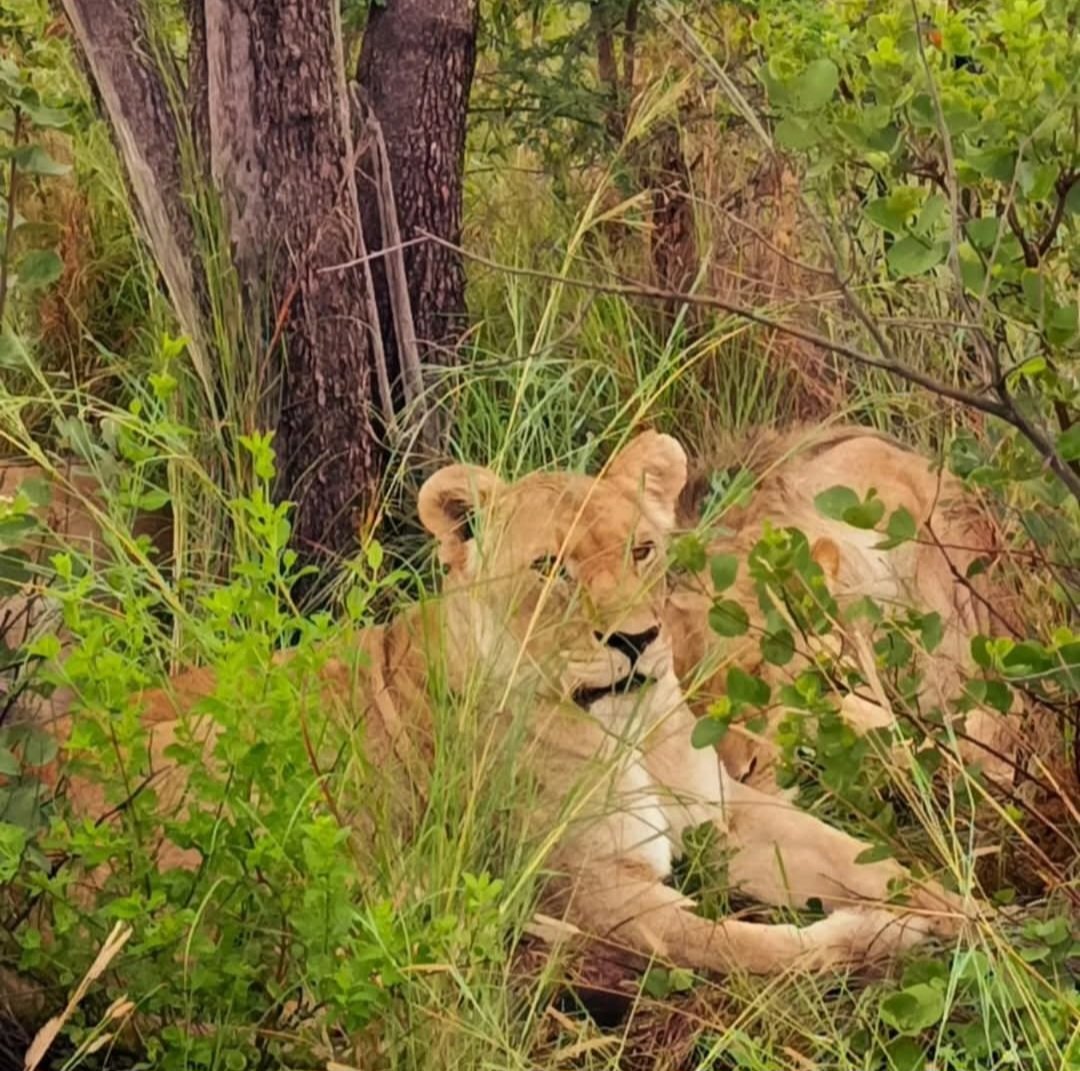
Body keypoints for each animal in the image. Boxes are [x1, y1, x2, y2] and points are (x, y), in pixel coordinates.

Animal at [4, 432, 969, 1007]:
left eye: (643, 549)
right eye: (551, 570)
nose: (637, 639)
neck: (625, 729)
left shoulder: (722, 810)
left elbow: (860, 857)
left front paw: (966, 914)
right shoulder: (600, 892)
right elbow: (751, 949)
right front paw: (884, 941)